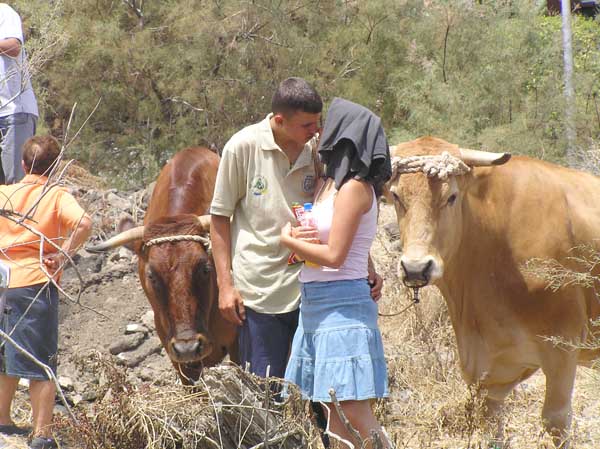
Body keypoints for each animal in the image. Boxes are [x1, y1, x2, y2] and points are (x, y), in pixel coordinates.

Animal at [386, 136, 600, 444]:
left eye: (451, 197)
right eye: (396, 196)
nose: (416, 268)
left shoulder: (563, 348)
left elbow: (556, 420)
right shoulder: (488, 378)